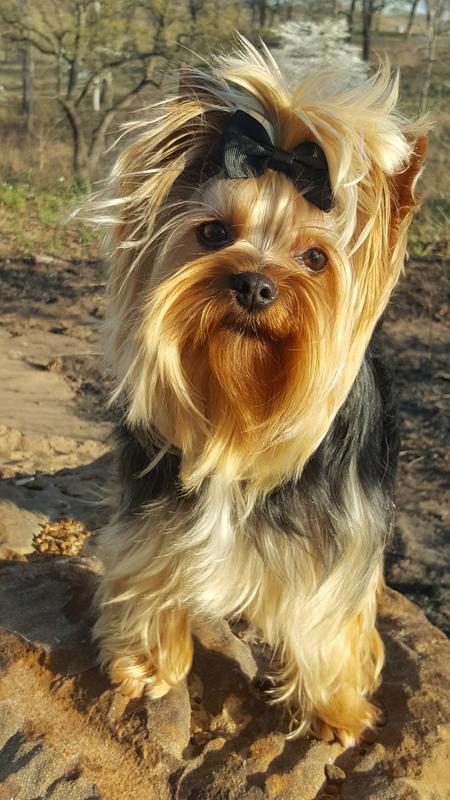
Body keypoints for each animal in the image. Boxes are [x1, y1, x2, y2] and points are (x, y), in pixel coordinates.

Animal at [92, 40, 428, 748]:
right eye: (214, 233)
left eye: (315, 259)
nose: (253, 285)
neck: (237, 415)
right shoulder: (153, 517)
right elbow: (150, 574)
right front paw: (146, 667)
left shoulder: (337, 547)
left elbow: (327, 621)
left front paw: (334, 712)